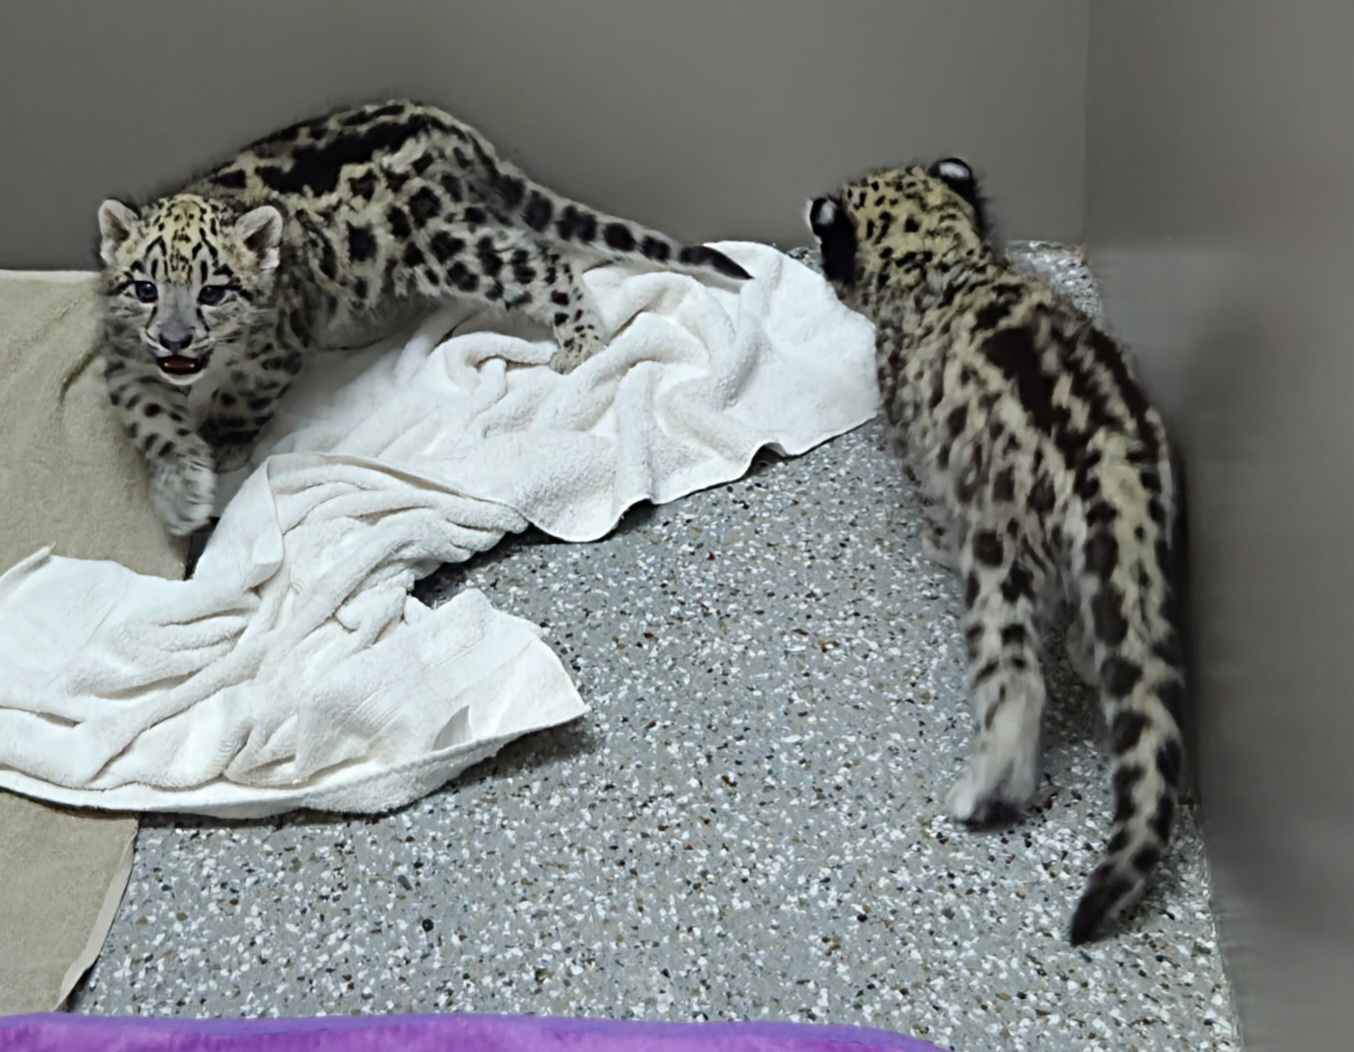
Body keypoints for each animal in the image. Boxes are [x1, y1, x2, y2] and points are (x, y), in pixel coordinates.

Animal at [96, 99, 751, 536]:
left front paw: (221, 443)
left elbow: (239, 400)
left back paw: (581, 341)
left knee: (544, 260)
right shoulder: (126, 360)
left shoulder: (274, 352)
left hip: (451, 247)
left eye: (213, 291)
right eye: (146, 288)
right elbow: (152, 420)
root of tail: (445, 123)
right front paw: (181, 490)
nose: (174, 340)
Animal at [807, 157, 1187, 944]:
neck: (946, 263)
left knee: (1016, 688)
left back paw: (982, 793)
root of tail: (1108, 475)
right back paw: (1084, 654)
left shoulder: (917, 450)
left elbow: (927, 501)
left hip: (1000, 567)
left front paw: (931, 543)